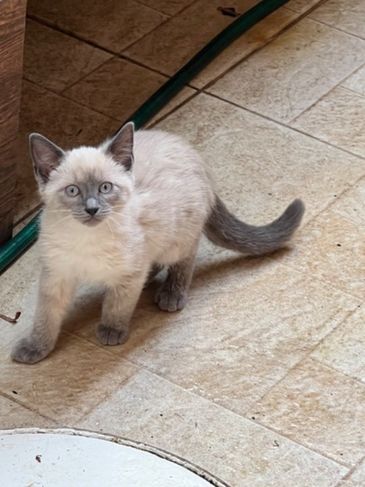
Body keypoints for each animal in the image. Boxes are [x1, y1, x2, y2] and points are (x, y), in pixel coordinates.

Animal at [11, 124, 302, 364]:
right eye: (73, 191)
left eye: (105, 188)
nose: (92, 209)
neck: (87, 239)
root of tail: (193, 154)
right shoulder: (56, 275)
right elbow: (46, 318)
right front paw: (35, 349)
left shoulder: (129, 273)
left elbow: (117, 305)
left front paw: (111, 331)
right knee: (157, 263)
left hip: (177, 236)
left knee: (185, 257)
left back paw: (171, 294)